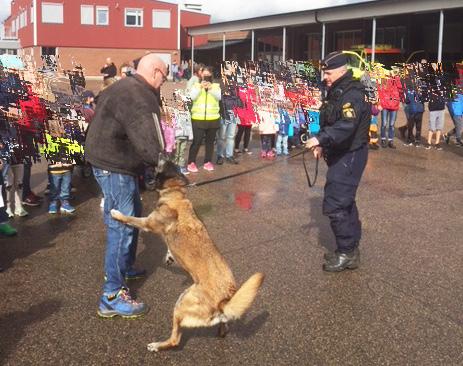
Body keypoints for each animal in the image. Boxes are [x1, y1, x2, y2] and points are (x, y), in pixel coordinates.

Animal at [109, 162, 264, 350]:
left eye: (158, 167)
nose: (145, 170)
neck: (176, 194)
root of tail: (224, 300)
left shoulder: (147, 223)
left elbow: (130, 218)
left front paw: (116, 214)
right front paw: (169, 256)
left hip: (181, 302)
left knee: (175, 340)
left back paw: (157, 345)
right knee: (223, 324)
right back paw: (221, 331)